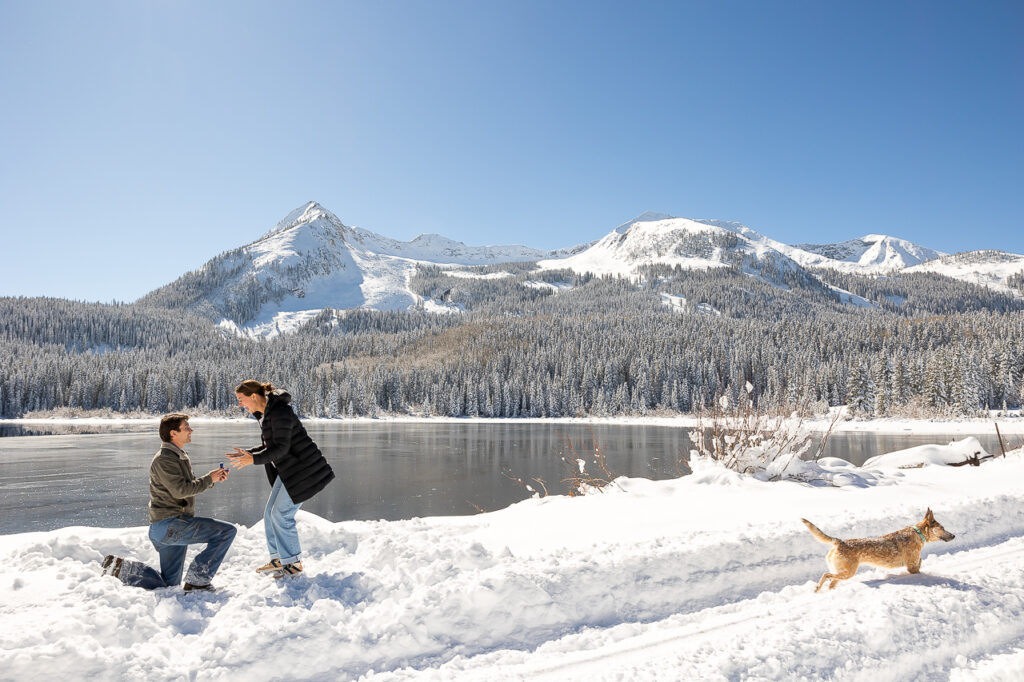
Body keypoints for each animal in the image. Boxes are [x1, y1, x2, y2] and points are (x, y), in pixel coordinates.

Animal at [802, 503, 954, 589]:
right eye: (942, 528)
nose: (953, 536)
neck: (918, 534)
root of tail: (839, 541)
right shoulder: (912, 567)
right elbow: (919, 566)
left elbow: (921, 561)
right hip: (848, 572)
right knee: (826, 575)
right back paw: (817, 588)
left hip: (842, 572)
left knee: (832, 582)